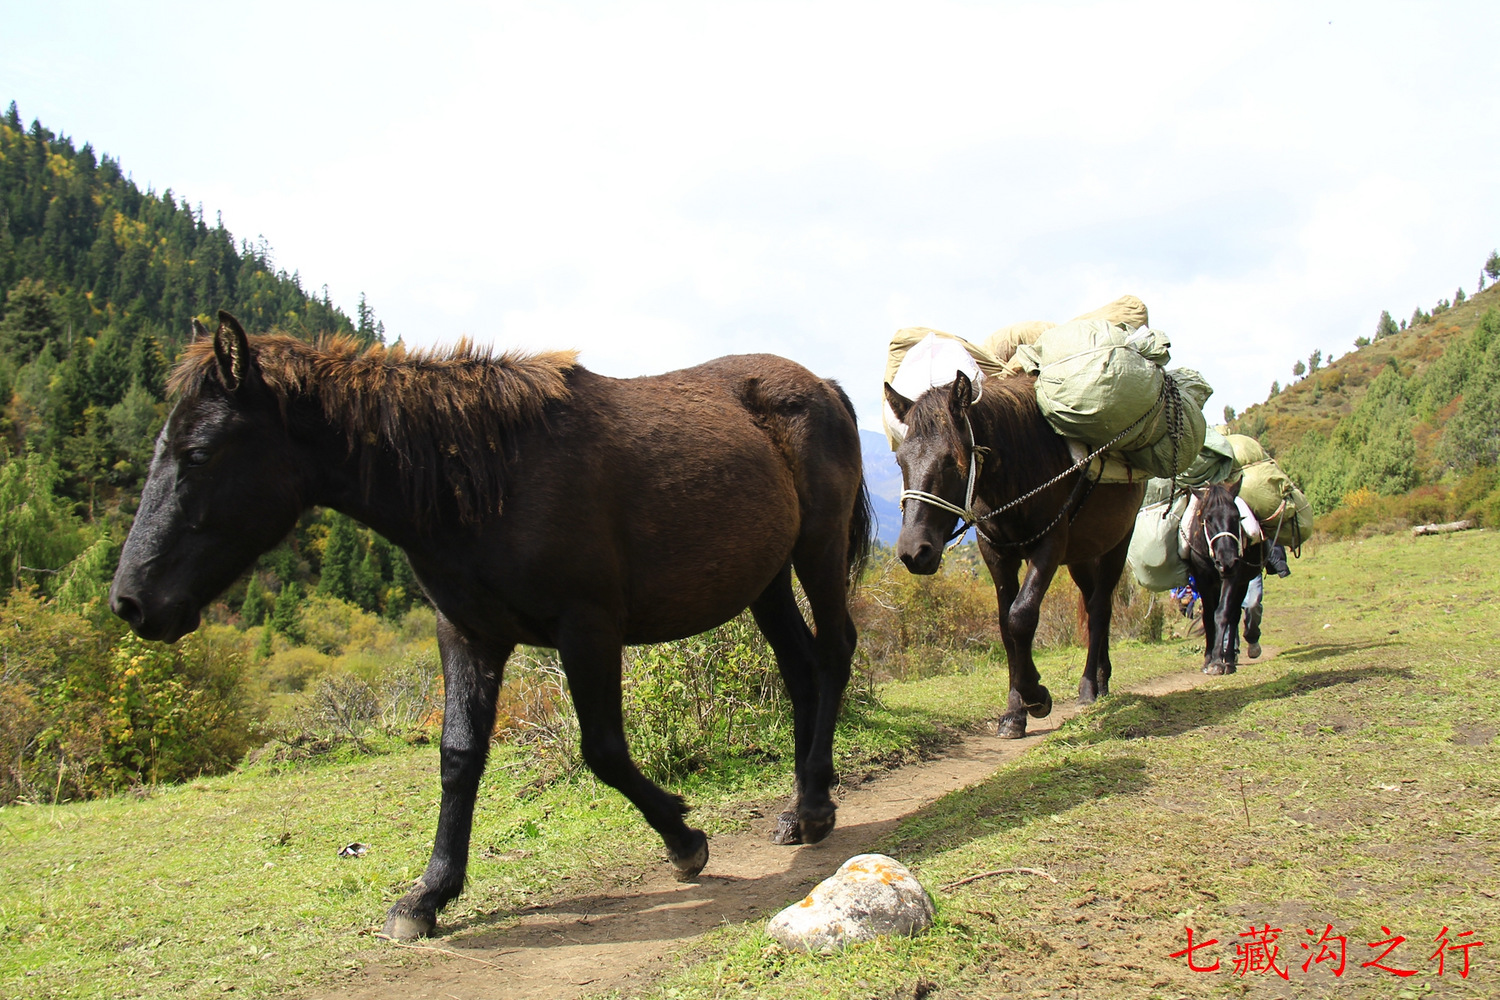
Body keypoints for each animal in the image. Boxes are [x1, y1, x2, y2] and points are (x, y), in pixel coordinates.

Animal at [109, 313, 874, 940]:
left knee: (834, 653)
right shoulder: (468, 634)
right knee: (800, 670)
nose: (131, 602)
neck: (486, 476)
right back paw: (806, 806)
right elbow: (458, 758)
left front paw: (683, 840)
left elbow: (603, 749)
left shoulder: (587, 627)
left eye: (198, 452)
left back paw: (811, 805)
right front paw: (428, 895)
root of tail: (824, 386)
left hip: (815, 550)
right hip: (765, 579)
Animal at [883, 371, 1145, 739]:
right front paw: (1013, 711)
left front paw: (1036, 696)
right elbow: (1005, 627)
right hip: (1081, 556)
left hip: (1117, 543)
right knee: (1094, 603)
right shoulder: (997, 556)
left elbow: (1020, 617)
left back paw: (1090, 684)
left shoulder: (1049, 546)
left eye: (950, 460)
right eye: (900, 460)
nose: (913, 551)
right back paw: (1101, 676)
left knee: (1100, 606)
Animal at [1182, 479, 1264, 675]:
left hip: (1242, 583)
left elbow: (1222, 614)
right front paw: (1208, 659)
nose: (1226, 560)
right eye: (1208, 519)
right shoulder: (1203, 581)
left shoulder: (1233, 577)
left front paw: (1218, 662)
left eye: (1237, 517)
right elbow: (1208, 617)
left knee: (1234, 616)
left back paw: (1230, 660)